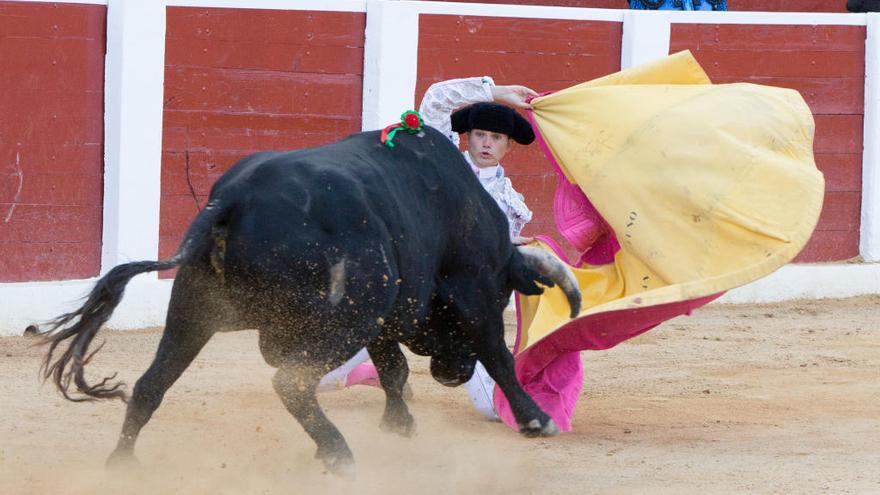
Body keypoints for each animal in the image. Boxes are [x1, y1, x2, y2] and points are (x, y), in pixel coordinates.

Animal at [41, 126, 580, 474]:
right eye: (506, 289)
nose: (452, 375)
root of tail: (231, 199)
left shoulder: (384, 317)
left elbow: (393, 369)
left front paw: (399, 424)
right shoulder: (473, 297)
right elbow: (498, 355)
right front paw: (536, 418)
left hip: (193, 310)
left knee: (151, 384)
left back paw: (122, 464)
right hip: (338, 324)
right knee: (290, 381)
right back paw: (338, 453)